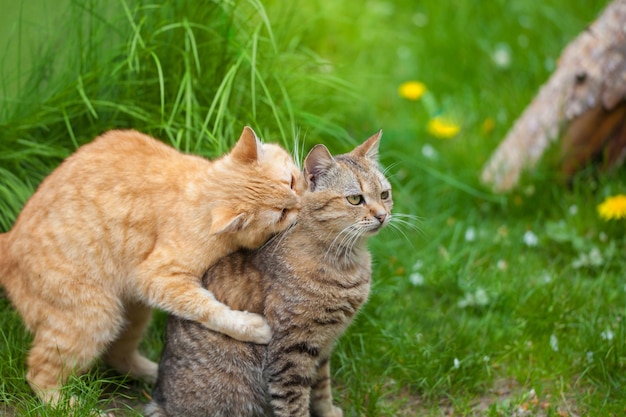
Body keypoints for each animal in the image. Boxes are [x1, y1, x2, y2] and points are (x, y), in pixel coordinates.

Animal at [0, 127, 300, 404]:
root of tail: (8, 238)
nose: (300, 205)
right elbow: (209, 309)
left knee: (117, 355)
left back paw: (153, 375)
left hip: (133, 311)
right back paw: (68, 404)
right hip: (96, 316)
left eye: (293, 182)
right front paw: (252, 327)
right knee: (38, 372)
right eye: (281, 214)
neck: (202, 192)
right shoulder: (155, 278)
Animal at [146, 132, 390, 416]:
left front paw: (329, 412)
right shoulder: (292, 350)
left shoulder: (322, 346)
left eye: (385, 194)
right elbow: (294, 404)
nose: (383, 215)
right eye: (355, 199)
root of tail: (160, 400)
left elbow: (321, 388)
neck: (347, 261)